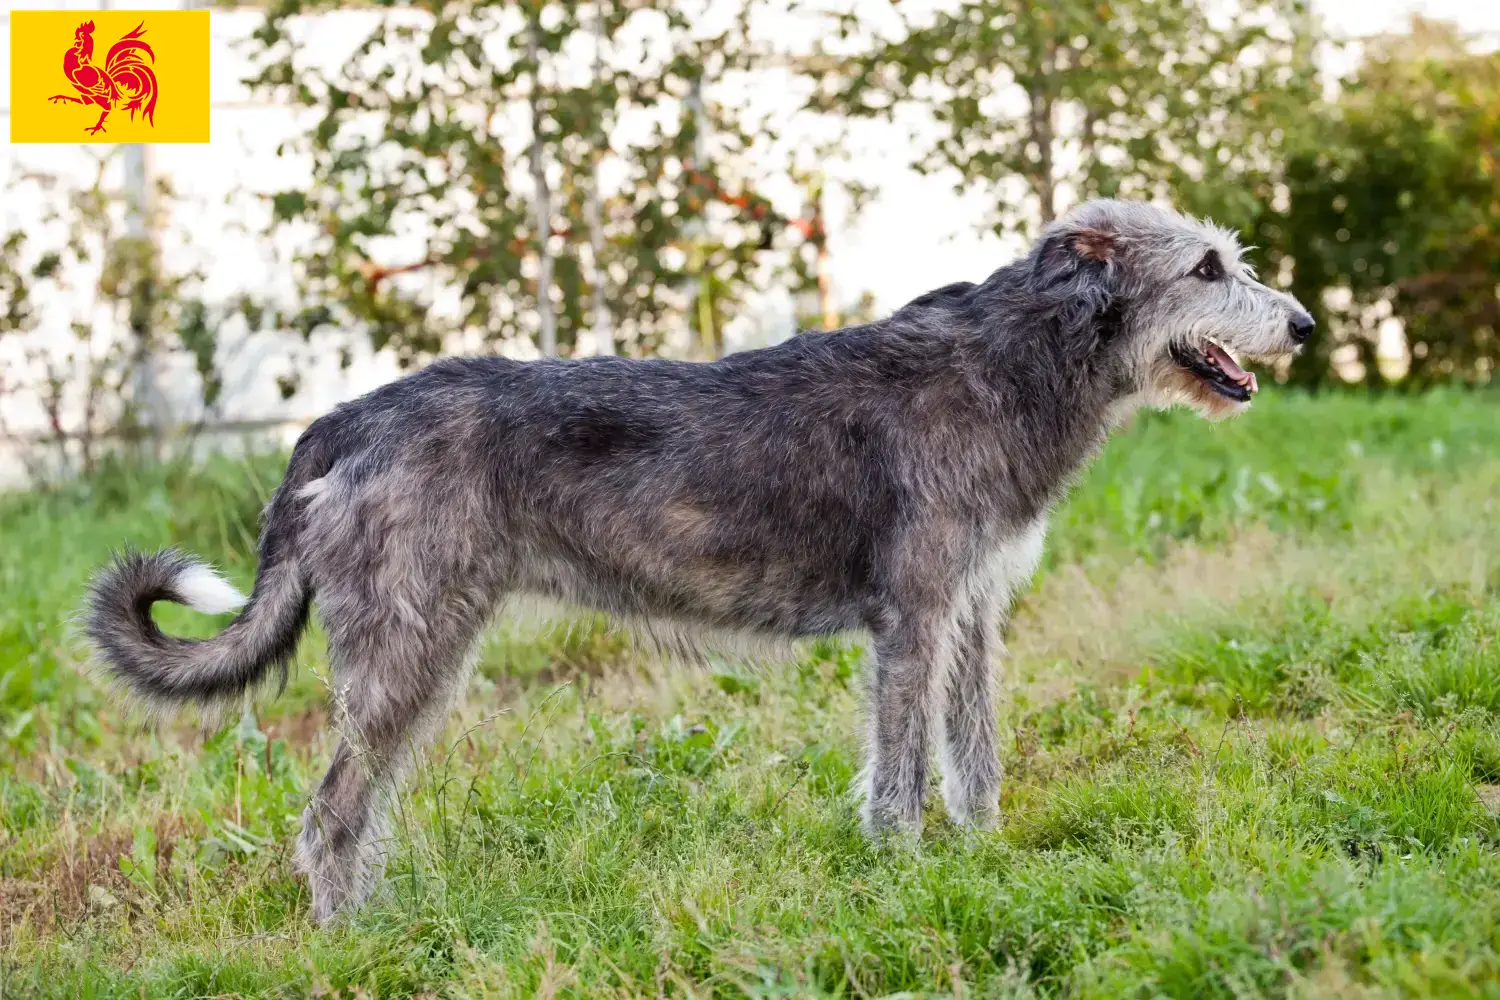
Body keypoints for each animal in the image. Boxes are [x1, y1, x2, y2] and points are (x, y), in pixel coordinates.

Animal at [85, 199, 1314, 929]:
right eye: (1209, 266)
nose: (1303, 324)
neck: (1019, 359)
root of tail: (341, 419)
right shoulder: (911, 616)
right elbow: (903, 771)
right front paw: (906, 878)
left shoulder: (971, 612)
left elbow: (972, 756)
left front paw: (983, 854)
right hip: (408, 648)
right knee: (330, 808)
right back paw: (354, 941)